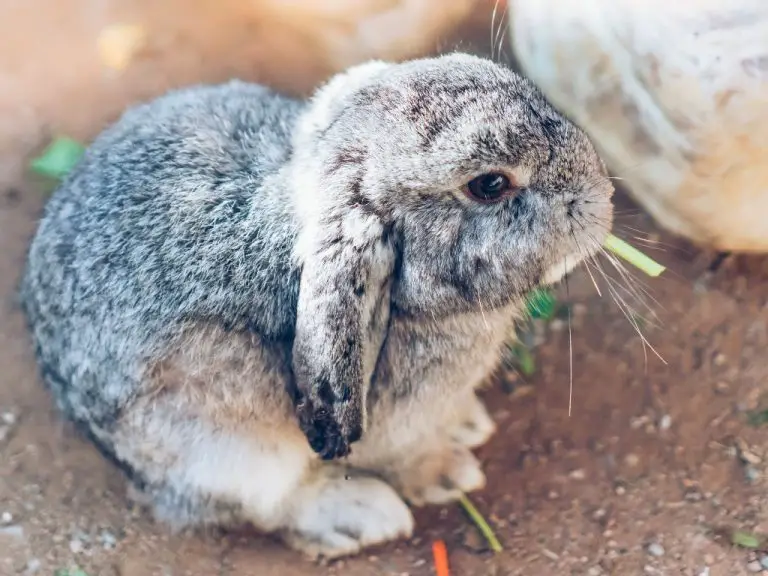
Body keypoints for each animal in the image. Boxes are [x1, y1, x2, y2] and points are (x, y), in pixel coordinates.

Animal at [21, 53, 616, 560]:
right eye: (490, 184)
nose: (603, 200)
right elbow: (409, 459)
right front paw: (448, 474)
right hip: (223, 446)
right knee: (263, 502)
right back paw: (357, 515)